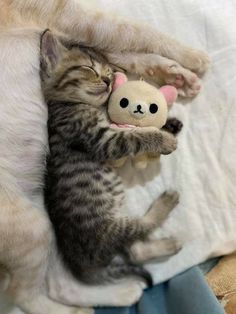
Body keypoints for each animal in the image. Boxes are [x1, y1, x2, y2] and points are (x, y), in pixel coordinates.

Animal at [40, 30, 180, 288]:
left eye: (109, 73)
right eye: (88, 68)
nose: (108, 81)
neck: (67, 104)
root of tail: (79, 264)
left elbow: (136, 128)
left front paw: (170, 124)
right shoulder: (102, 140)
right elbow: (135, 137)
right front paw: (165, 140)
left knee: (134, 251)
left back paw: (167, 244)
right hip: (108, 228)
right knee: (140, 228)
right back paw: (165, 205)